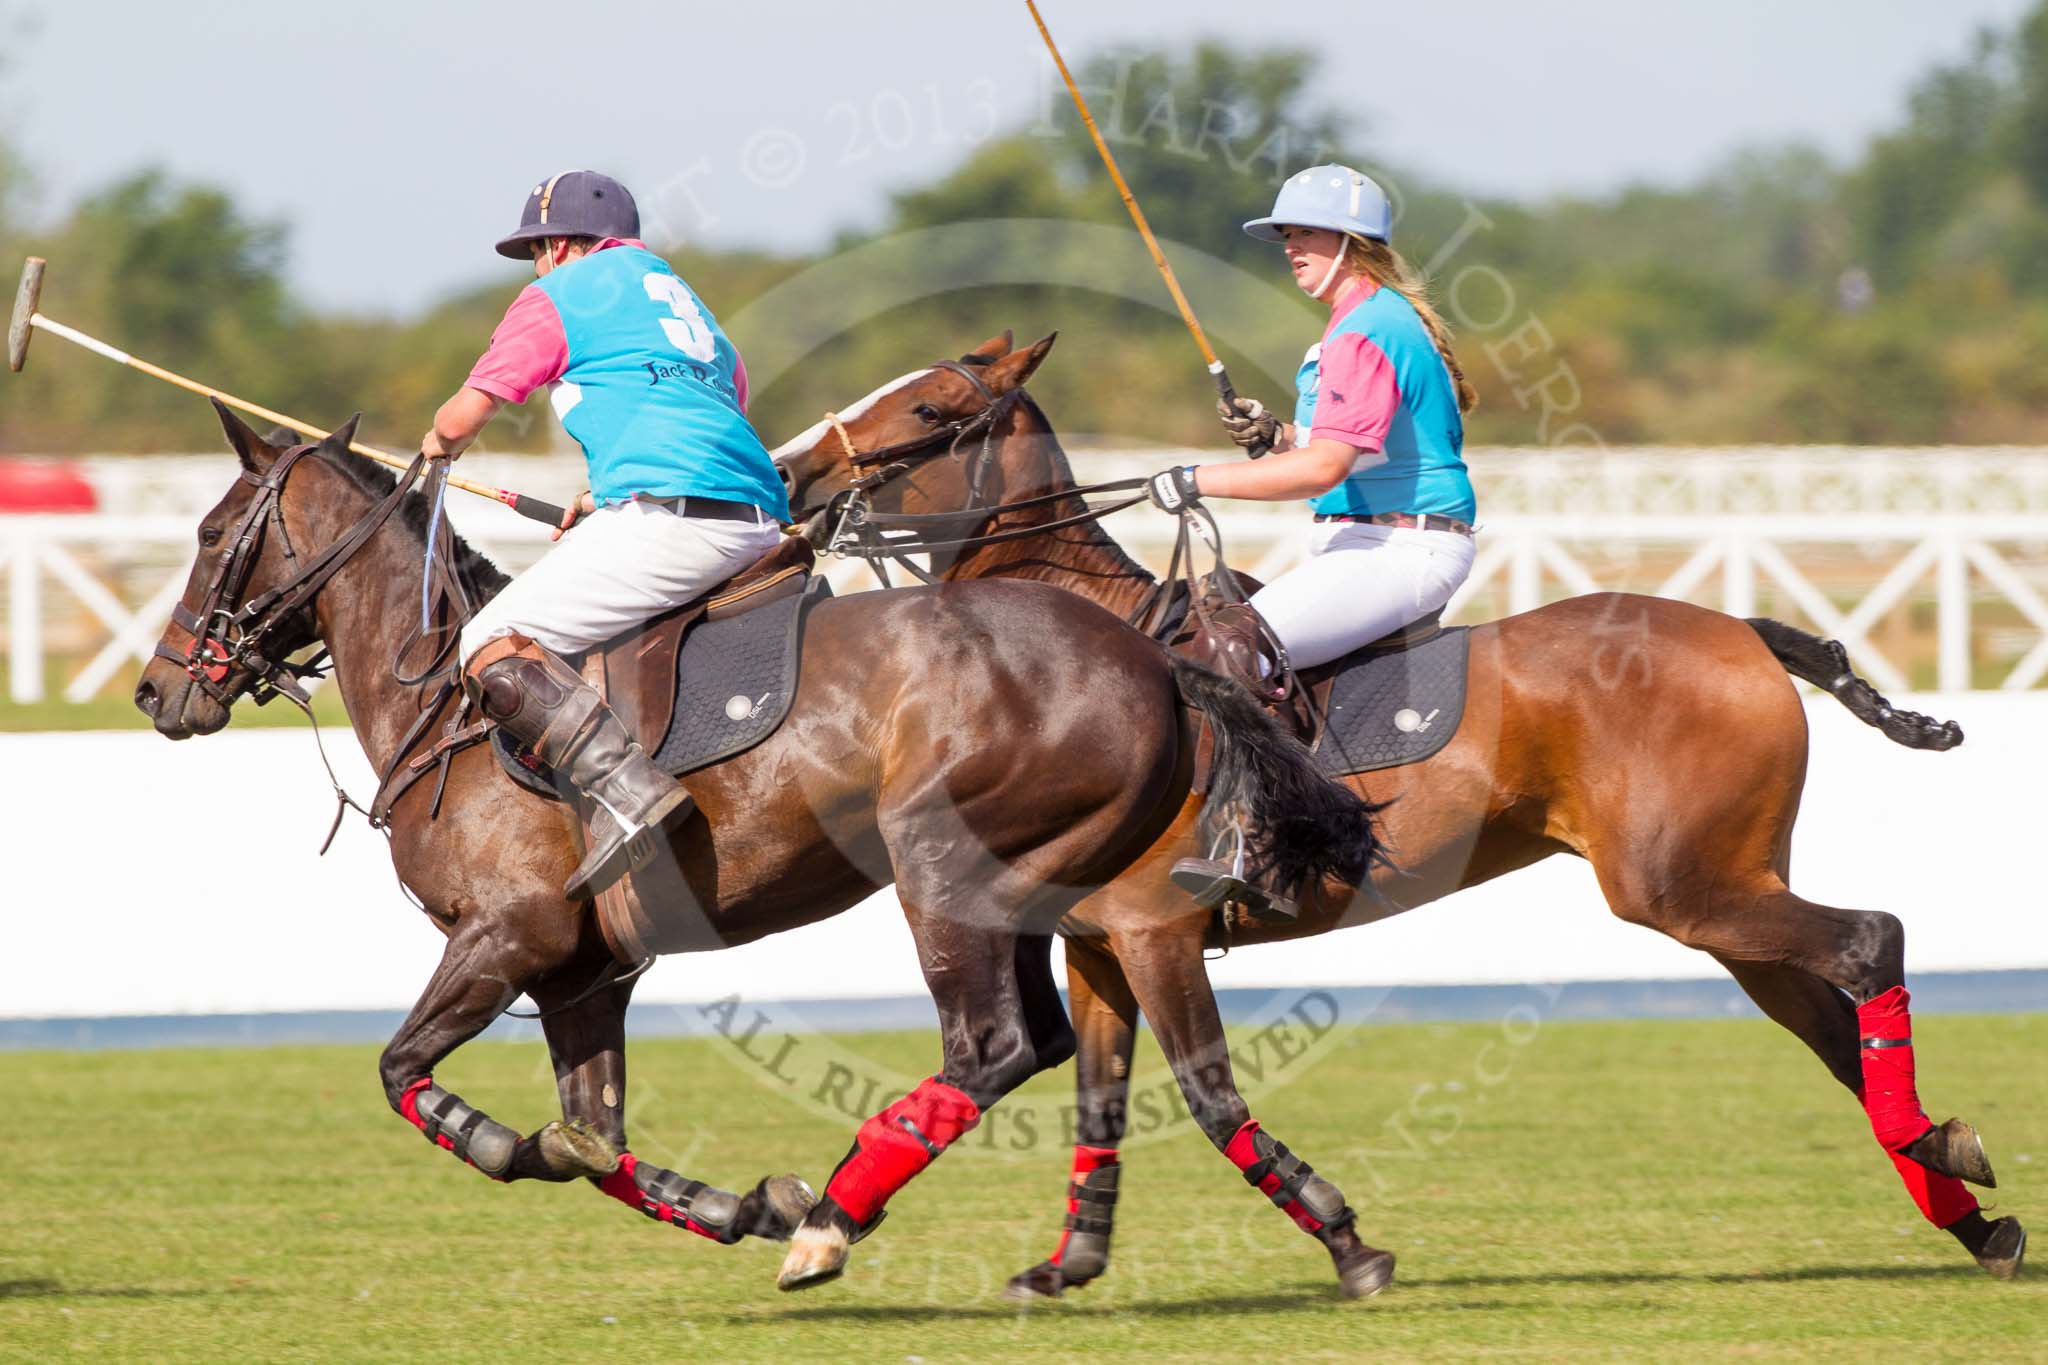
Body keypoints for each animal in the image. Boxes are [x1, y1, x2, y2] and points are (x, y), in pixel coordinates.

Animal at [123, 403, 1376, 1293]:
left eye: (209, 532)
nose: (157, 691)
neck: (446, 705)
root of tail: (1156, 658)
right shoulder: (583, 973)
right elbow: (589, 1136)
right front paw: (740, 1205)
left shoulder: (508, 934)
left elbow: (406, 1078)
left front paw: (519, 1146)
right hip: (1042, 886)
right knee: (1073, 1050)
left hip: (939, 868)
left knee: (992, 1046)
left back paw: (830, 1226)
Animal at [770, 331, 2031, 1293]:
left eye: (929, 405)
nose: (787, 476)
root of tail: (1745, 631)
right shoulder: (1097, 948)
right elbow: (1099, 1106)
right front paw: (1066, 1265)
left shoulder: (1155, 930)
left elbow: (1208, 1095)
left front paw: (1347, 1245)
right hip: (1723, 891)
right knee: (1827, 1023)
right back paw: (1968, 1211)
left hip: (1681, 888)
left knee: (1869, 942)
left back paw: (1947, 1157)